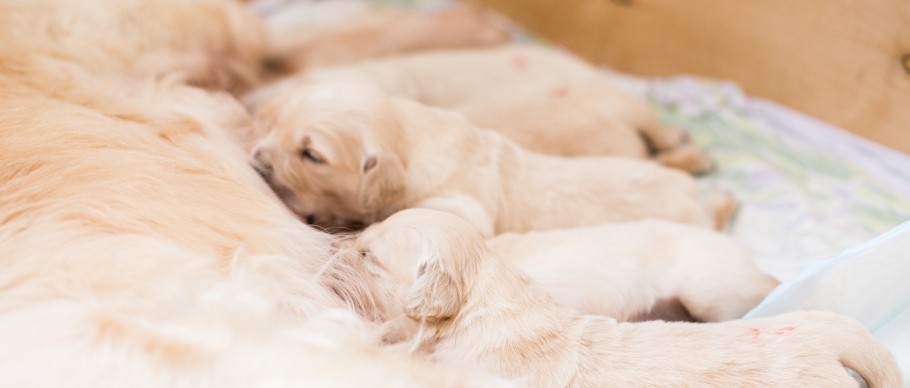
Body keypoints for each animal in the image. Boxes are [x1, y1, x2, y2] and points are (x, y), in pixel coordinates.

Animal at [253, 82, 736, 236]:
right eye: (276, 124)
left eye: (311, 155)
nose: (257, 159)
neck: (410, 137)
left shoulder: (461, 206)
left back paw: (722, 195)